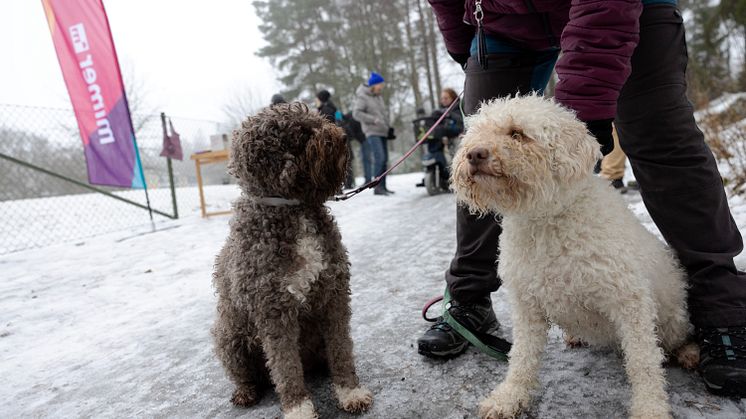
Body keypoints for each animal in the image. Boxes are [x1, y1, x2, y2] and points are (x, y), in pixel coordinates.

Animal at [211, 102, 372, 419]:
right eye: (301, 134)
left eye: (318, 120)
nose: (344, 138)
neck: (294, 211)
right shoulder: (274, 310)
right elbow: (285, 368)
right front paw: (299, 408)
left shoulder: (333, 296)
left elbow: (341, 350)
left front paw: (349, 391)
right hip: (230, 336)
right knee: (246, 374)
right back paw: (245, 392)